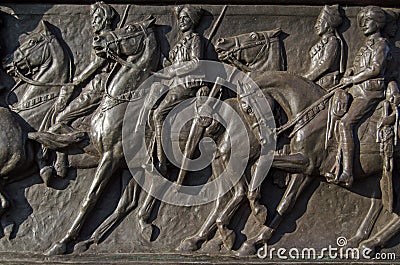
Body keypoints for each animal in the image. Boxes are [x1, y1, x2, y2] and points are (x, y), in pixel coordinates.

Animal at [44, 16, 160, 254]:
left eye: (130, 28)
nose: (97, 39)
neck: (122, 104)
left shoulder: (111, 158)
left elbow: (90, 198)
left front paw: (63, 242)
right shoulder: (95, 148)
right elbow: (61, 131)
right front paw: (56, 164)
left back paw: (143, 224)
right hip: (134, 167)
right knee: (127, 202)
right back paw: (92, 240)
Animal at [234, 70, 400, 256]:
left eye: (247, 108)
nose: (263, 139)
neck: (311, 113)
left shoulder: (307, 163)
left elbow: (261, 165)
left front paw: (259, 211)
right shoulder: (305, 170)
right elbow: (286, 202)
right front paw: (255, 240)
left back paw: (370, 244)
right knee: (379, 203)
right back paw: (357, 243)